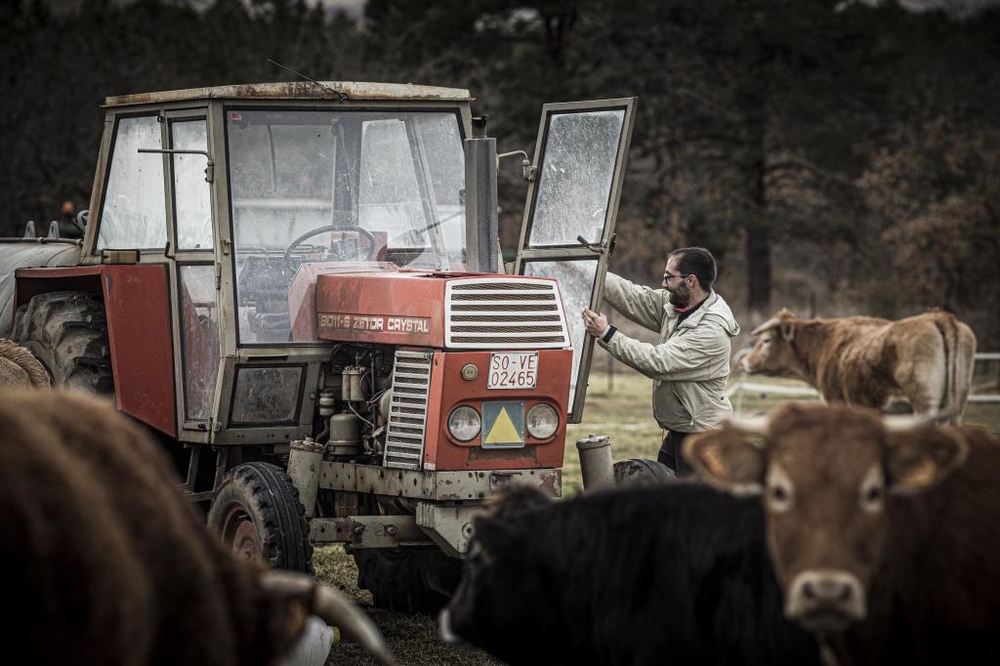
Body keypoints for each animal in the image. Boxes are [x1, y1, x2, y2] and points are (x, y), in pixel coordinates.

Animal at [744, 308, 976, 422]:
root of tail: (937, 317)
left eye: (766, 340)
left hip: (924, 405)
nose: (745, 361)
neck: (824, 343)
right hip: (957, 408)